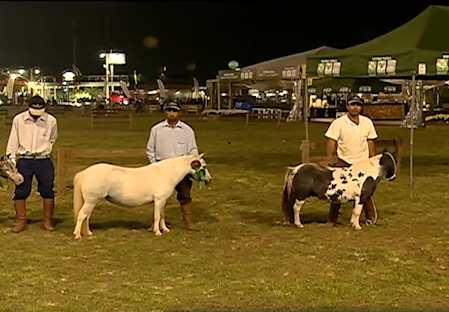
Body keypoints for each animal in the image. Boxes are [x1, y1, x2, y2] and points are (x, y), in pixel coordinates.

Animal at [72, 154, 211, 239]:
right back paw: (78, 235)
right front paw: (157, 232)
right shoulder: (159, 199)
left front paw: (165, 230)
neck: (166, 173)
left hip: (91, 202)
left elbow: (161, 215)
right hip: (91, 201)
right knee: (82, 215)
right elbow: (157, 216)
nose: (209, 180)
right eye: (203, 167)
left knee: (86, 216)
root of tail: (85, 172)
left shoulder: (162, 201)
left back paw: (88, 233)